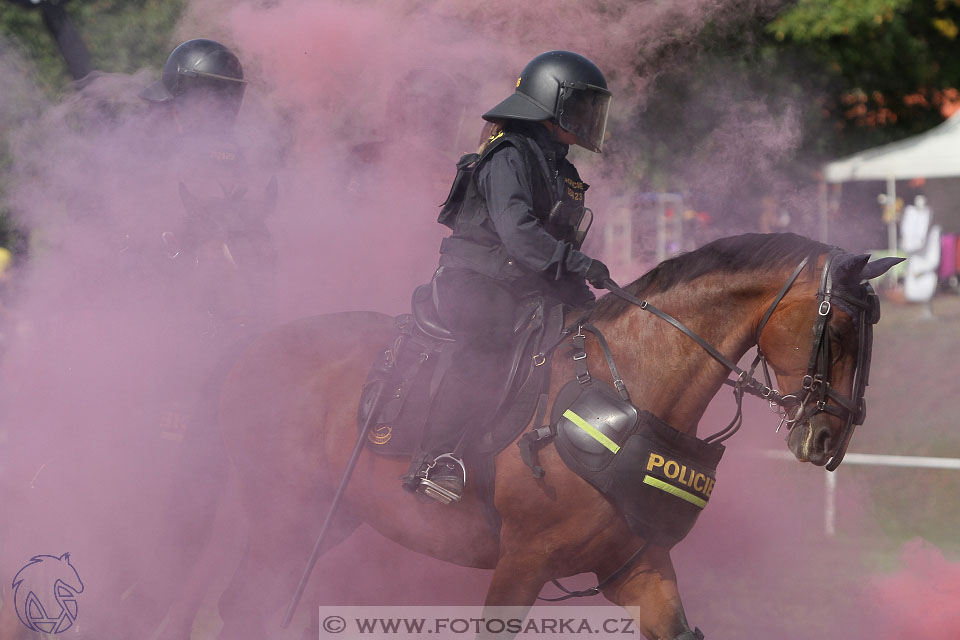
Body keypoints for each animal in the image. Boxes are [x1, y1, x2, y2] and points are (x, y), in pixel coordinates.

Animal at [210, 232, 900, 636]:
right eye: (839, 329)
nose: (829, 440)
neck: (630, 391)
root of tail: (252, 349)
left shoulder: (637, 566)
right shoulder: (521, 564)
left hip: (328, 521)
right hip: (283, 523)